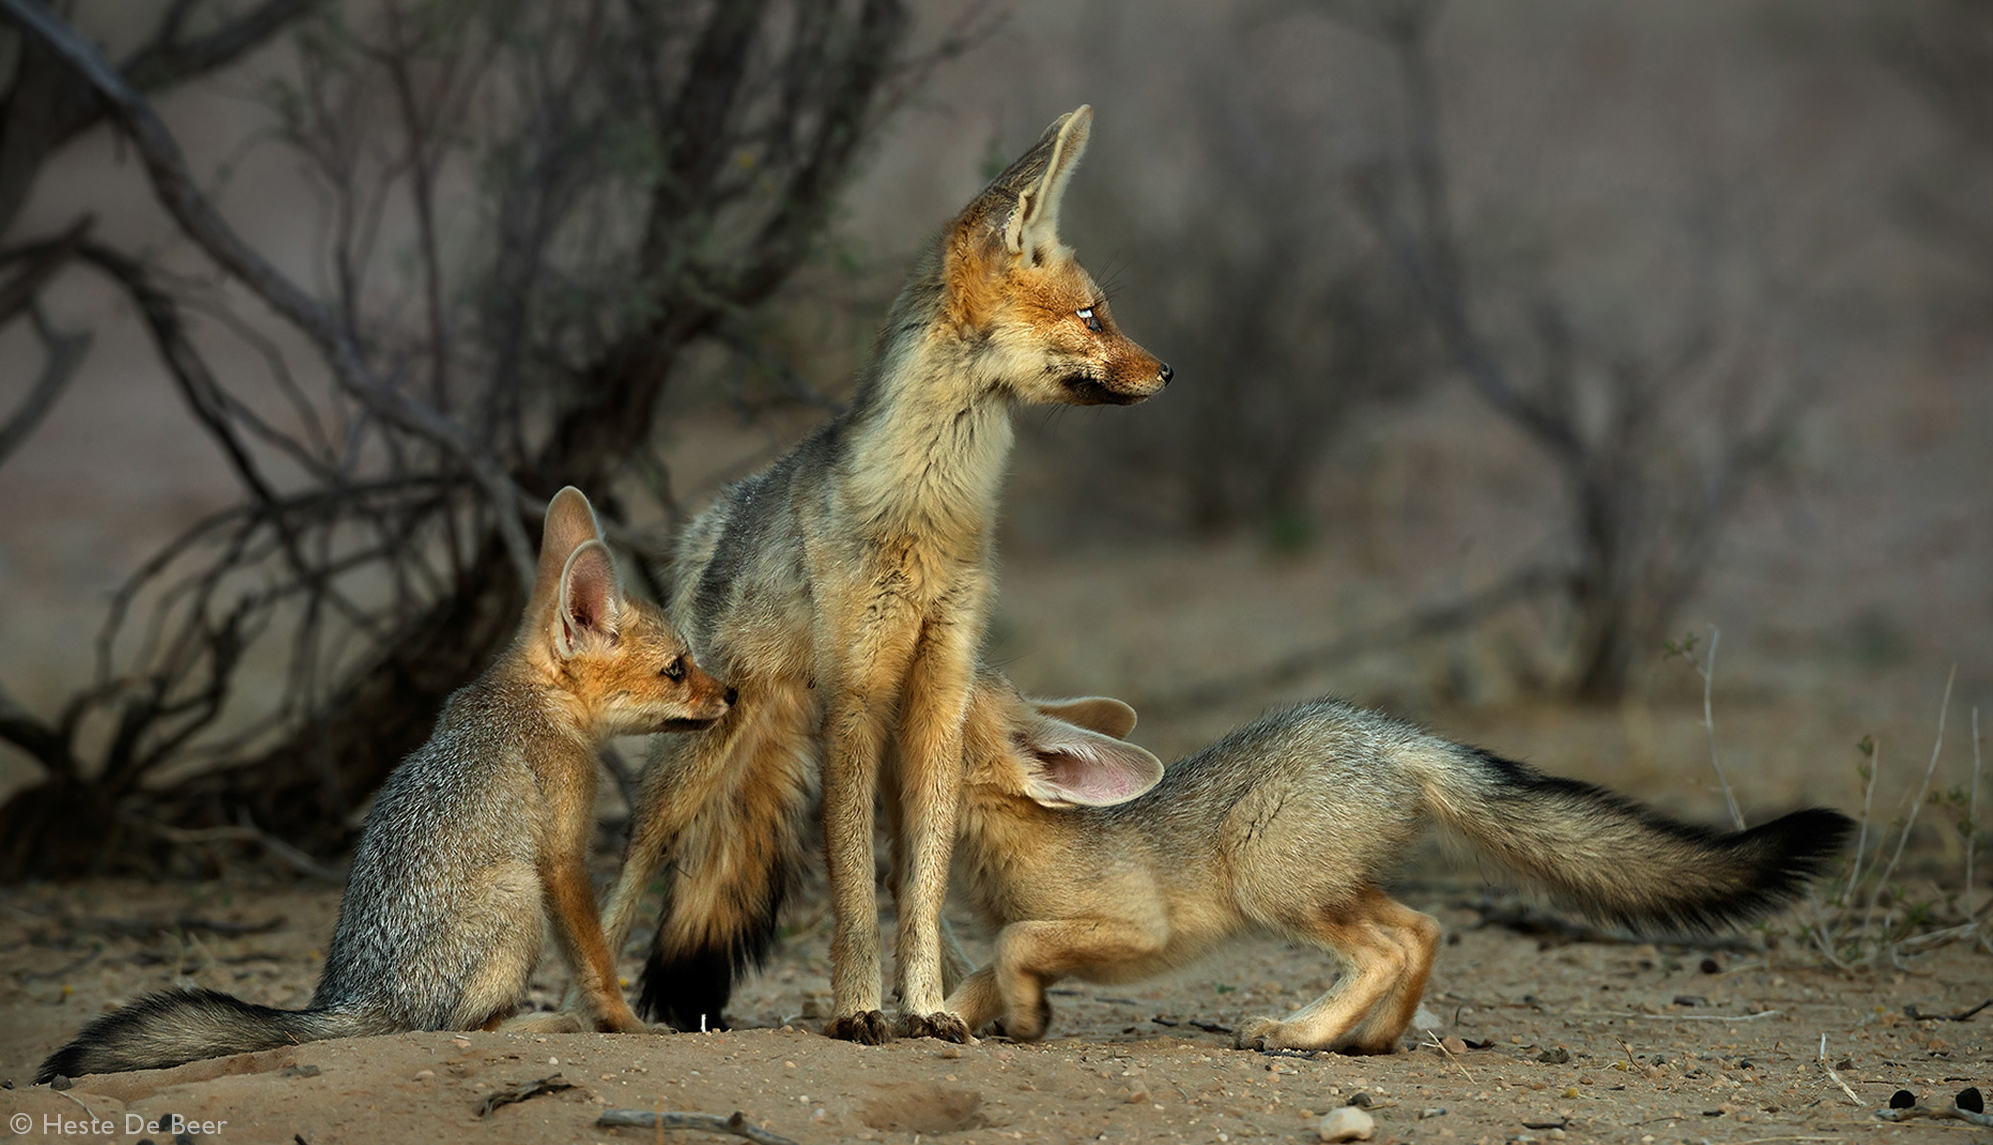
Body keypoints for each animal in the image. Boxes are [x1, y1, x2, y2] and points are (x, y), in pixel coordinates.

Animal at [38, 487, 737, 1083]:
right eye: (677, 669)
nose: (731, 693)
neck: (538, 697)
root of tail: (354, 999)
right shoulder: (562, 859)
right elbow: (598, 964)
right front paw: (626, 1024)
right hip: (520, 893)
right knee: (460, 1028)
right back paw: (542, 1024)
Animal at [577, 107, 1163, 1051]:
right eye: (1091, 314)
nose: (1168, 372)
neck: (931, 513)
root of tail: (712, 516)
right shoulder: (854, 695)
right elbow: (851, 888)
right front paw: (858, 1005)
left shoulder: (938, 693)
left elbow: (917, 885)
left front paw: (924, 1005)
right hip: (693, 761)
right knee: (635, 867)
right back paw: (588, 1002)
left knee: (904, 880)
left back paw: (960, 990)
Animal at [944, 673, 1849, 1059]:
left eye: (964, 677)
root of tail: (1396, 735)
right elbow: (986, 967)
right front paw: (942, 1018)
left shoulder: (1134, 927)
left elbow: (1016, 945)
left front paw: (1027, 1017)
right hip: (1335, 887)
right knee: (1423, 929)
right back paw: (1373, 1036)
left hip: (1274, 885)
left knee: (1383, 949)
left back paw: (1302, 1032)